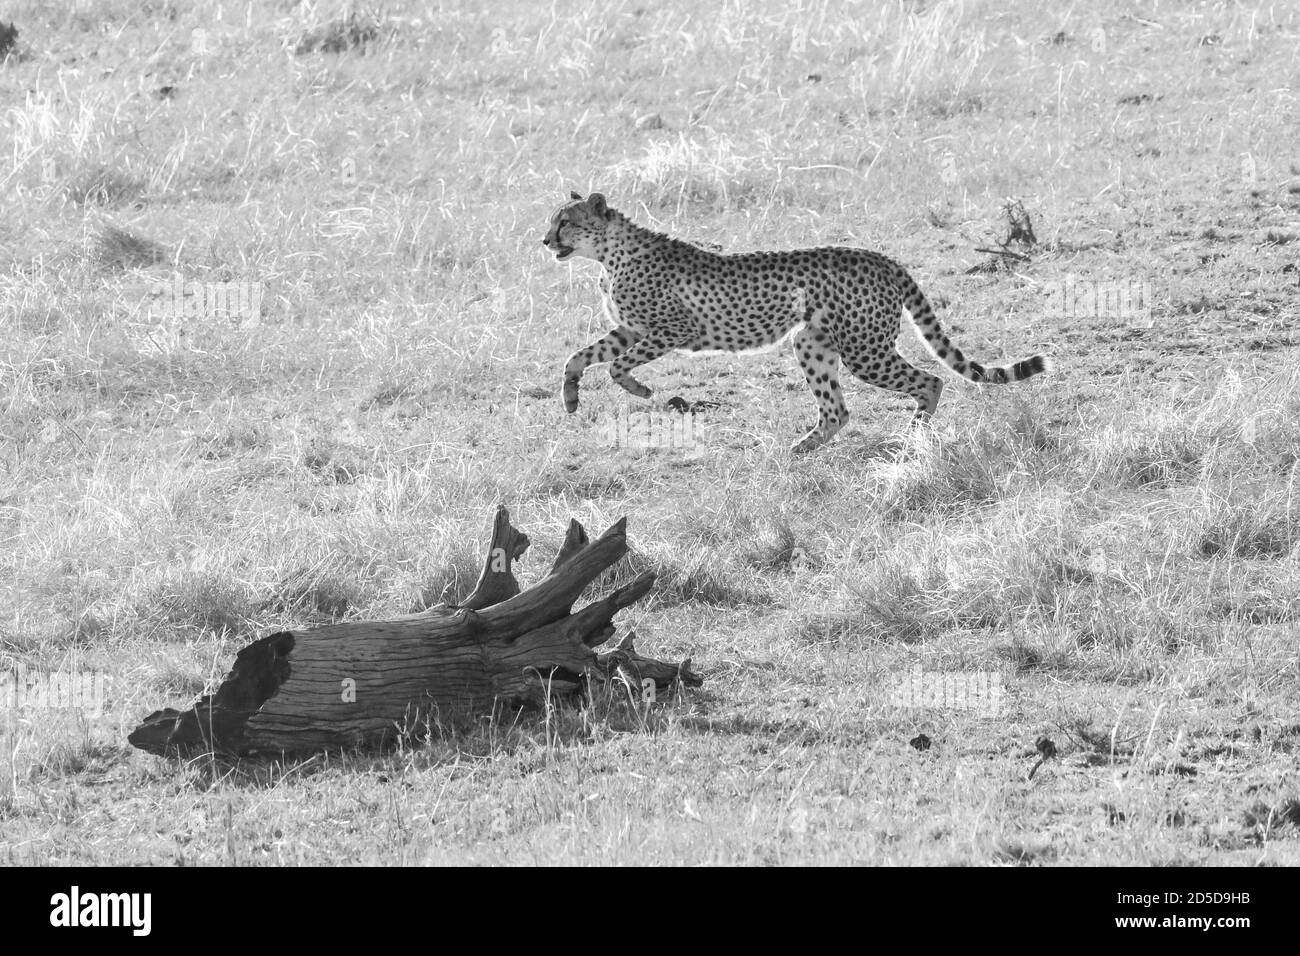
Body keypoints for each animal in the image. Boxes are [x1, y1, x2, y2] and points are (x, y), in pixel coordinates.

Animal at [543, 192, 1050, 455]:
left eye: (565, 222)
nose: (545, 240)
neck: (608, 254)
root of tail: (881, 257)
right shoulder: (632, 329)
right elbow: (580, 356)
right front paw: (570, 399)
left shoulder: (671, 331)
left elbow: (615, 366)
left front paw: (640, 390)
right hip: (813, 344)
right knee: (838, 409)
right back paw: (801, 449)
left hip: (865, 350)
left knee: (930, 380)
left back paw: (912, 437)